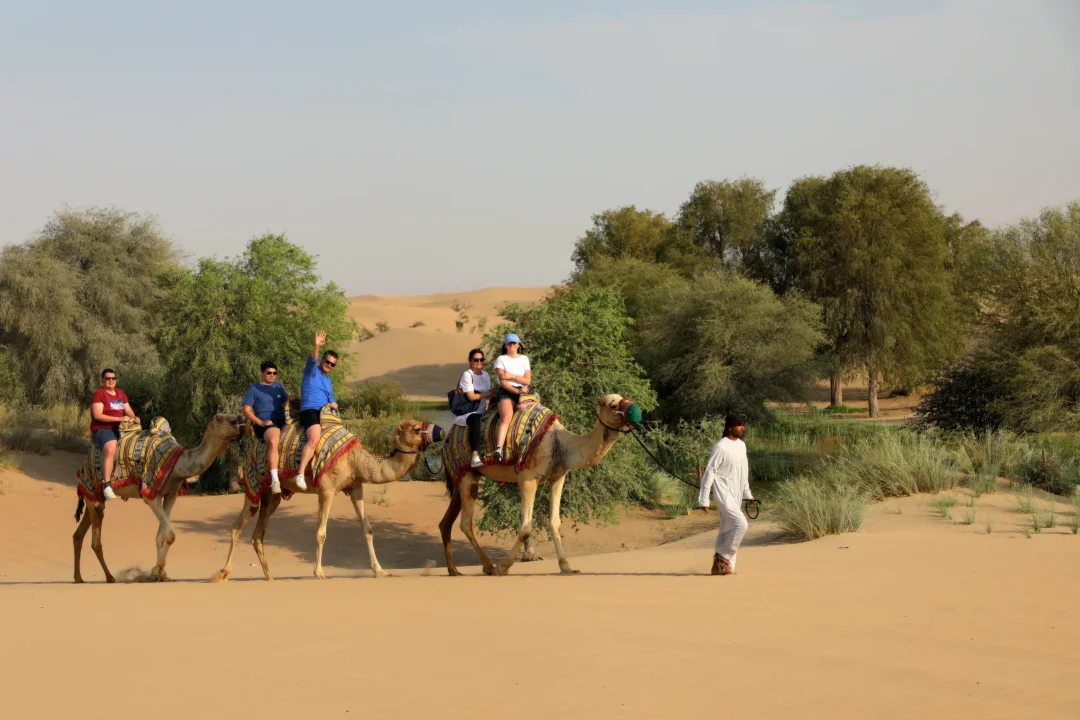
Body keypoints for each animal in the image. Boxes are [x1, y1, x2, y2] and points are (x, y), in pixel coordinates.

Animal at [73, 414, 245, 582]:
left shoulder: (170, 494)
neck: (178, 465)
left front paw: (161, 574)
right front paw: (157, 570)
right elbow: (170, 534)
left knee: (79, 534)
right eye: (226, 420)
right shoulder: (150, 495)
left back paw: (79, 578)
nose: (242, 423)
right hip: (94, 492)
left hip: (94, 497)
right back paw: (109, 578)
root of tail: (86, 461)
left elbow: (160, 536)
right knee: (95, 541)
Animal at [210, 418, 438, 582]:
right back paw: (222, 573)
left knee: (258, 534)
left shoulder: (356, 487)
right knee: (237, 525)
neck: (354, 459)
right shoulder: (326, 490)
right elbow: (321, 533)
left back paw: (270, 576)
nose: (440, 431)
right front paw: (319, 573)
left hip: (273, 496)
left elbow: (368, 530)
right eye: (416, 429)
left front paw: (380, 571)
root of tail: (251, 448)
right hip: (254, 483)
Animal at [438, 390, 639, 578]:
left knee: (446, 522)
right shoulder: (527, 478)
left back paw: (454, 570)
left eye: (624, 398)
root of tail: (447, 439)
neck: (559, 443)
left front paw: (566, 567)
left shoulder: (557, 478)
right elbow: (526, 528)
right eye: (613, 405)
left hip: (463, 477)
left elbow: (555, 523)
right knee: (465, 523)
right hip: (467, 475)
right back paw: (488, 567)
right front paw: (502, 567)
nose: (635, 412)